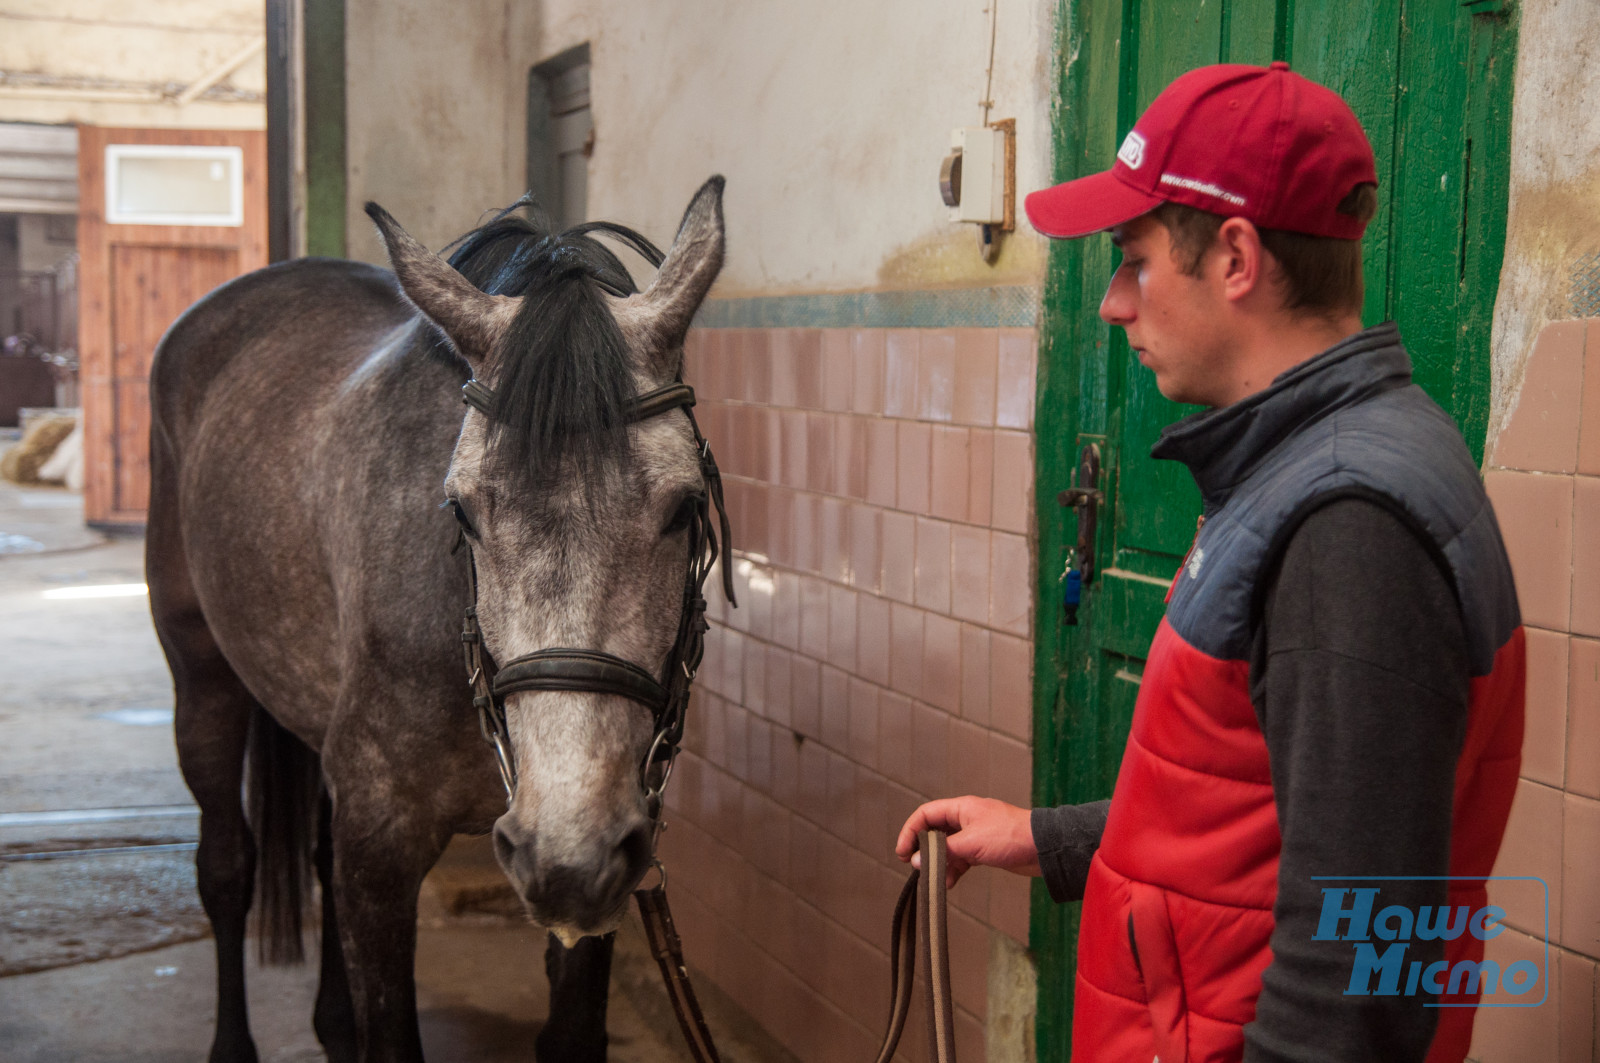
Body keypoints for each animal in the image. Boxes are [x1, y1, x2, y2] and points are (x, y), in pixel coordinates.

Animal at [145, 178, 732, 1056]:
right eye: (461, 510)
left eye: (685, 507)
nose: (567, 851)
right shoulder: (381, 843)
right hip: (202, 676)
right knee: (225, 866)